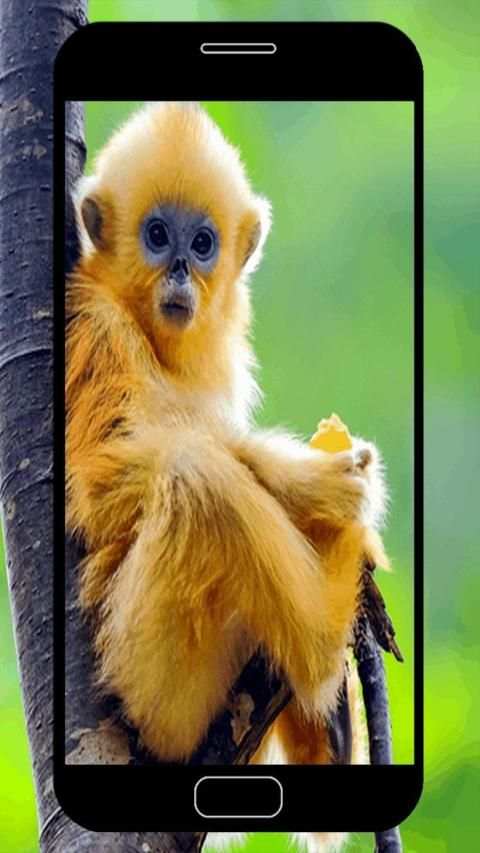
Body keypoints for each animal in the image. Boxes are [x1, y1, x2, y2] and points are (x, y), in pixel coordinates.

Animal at [66, 102, 387, 852]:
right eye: (157, 236)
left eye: (204, 242)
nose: (181, 270)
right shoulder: (89, 326)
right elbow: (105, 479)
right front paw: (307, 480)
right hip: (155, 689)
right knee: (197, 478)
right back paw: (327, 623)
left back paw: (333, 726)